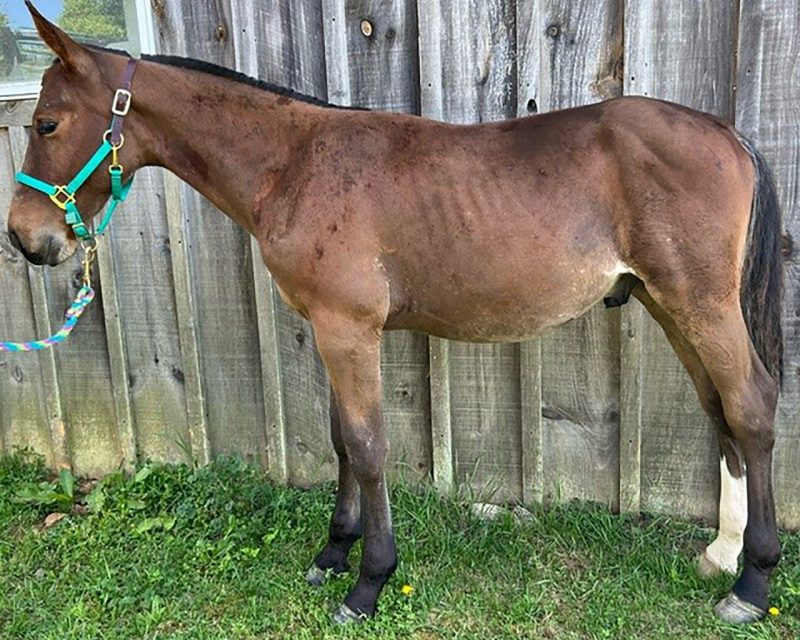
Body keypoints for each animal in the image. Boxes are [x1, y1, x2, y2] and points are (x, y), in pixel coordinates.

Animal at [6, 3, 780, 624]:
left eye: (47, 122)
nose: (25, 239)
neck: (295, 164)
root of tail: (726, 133)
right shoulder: (326, 328)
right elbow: (342, 441)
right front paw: (332, 553)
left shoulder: (349, 330)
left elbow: (369, 445)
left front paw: (368, 583)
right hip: (668, 304)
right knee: (719, 409)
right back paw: (722, 553)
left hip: (702, 305)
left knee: (751, 406)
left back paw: (752, 583)